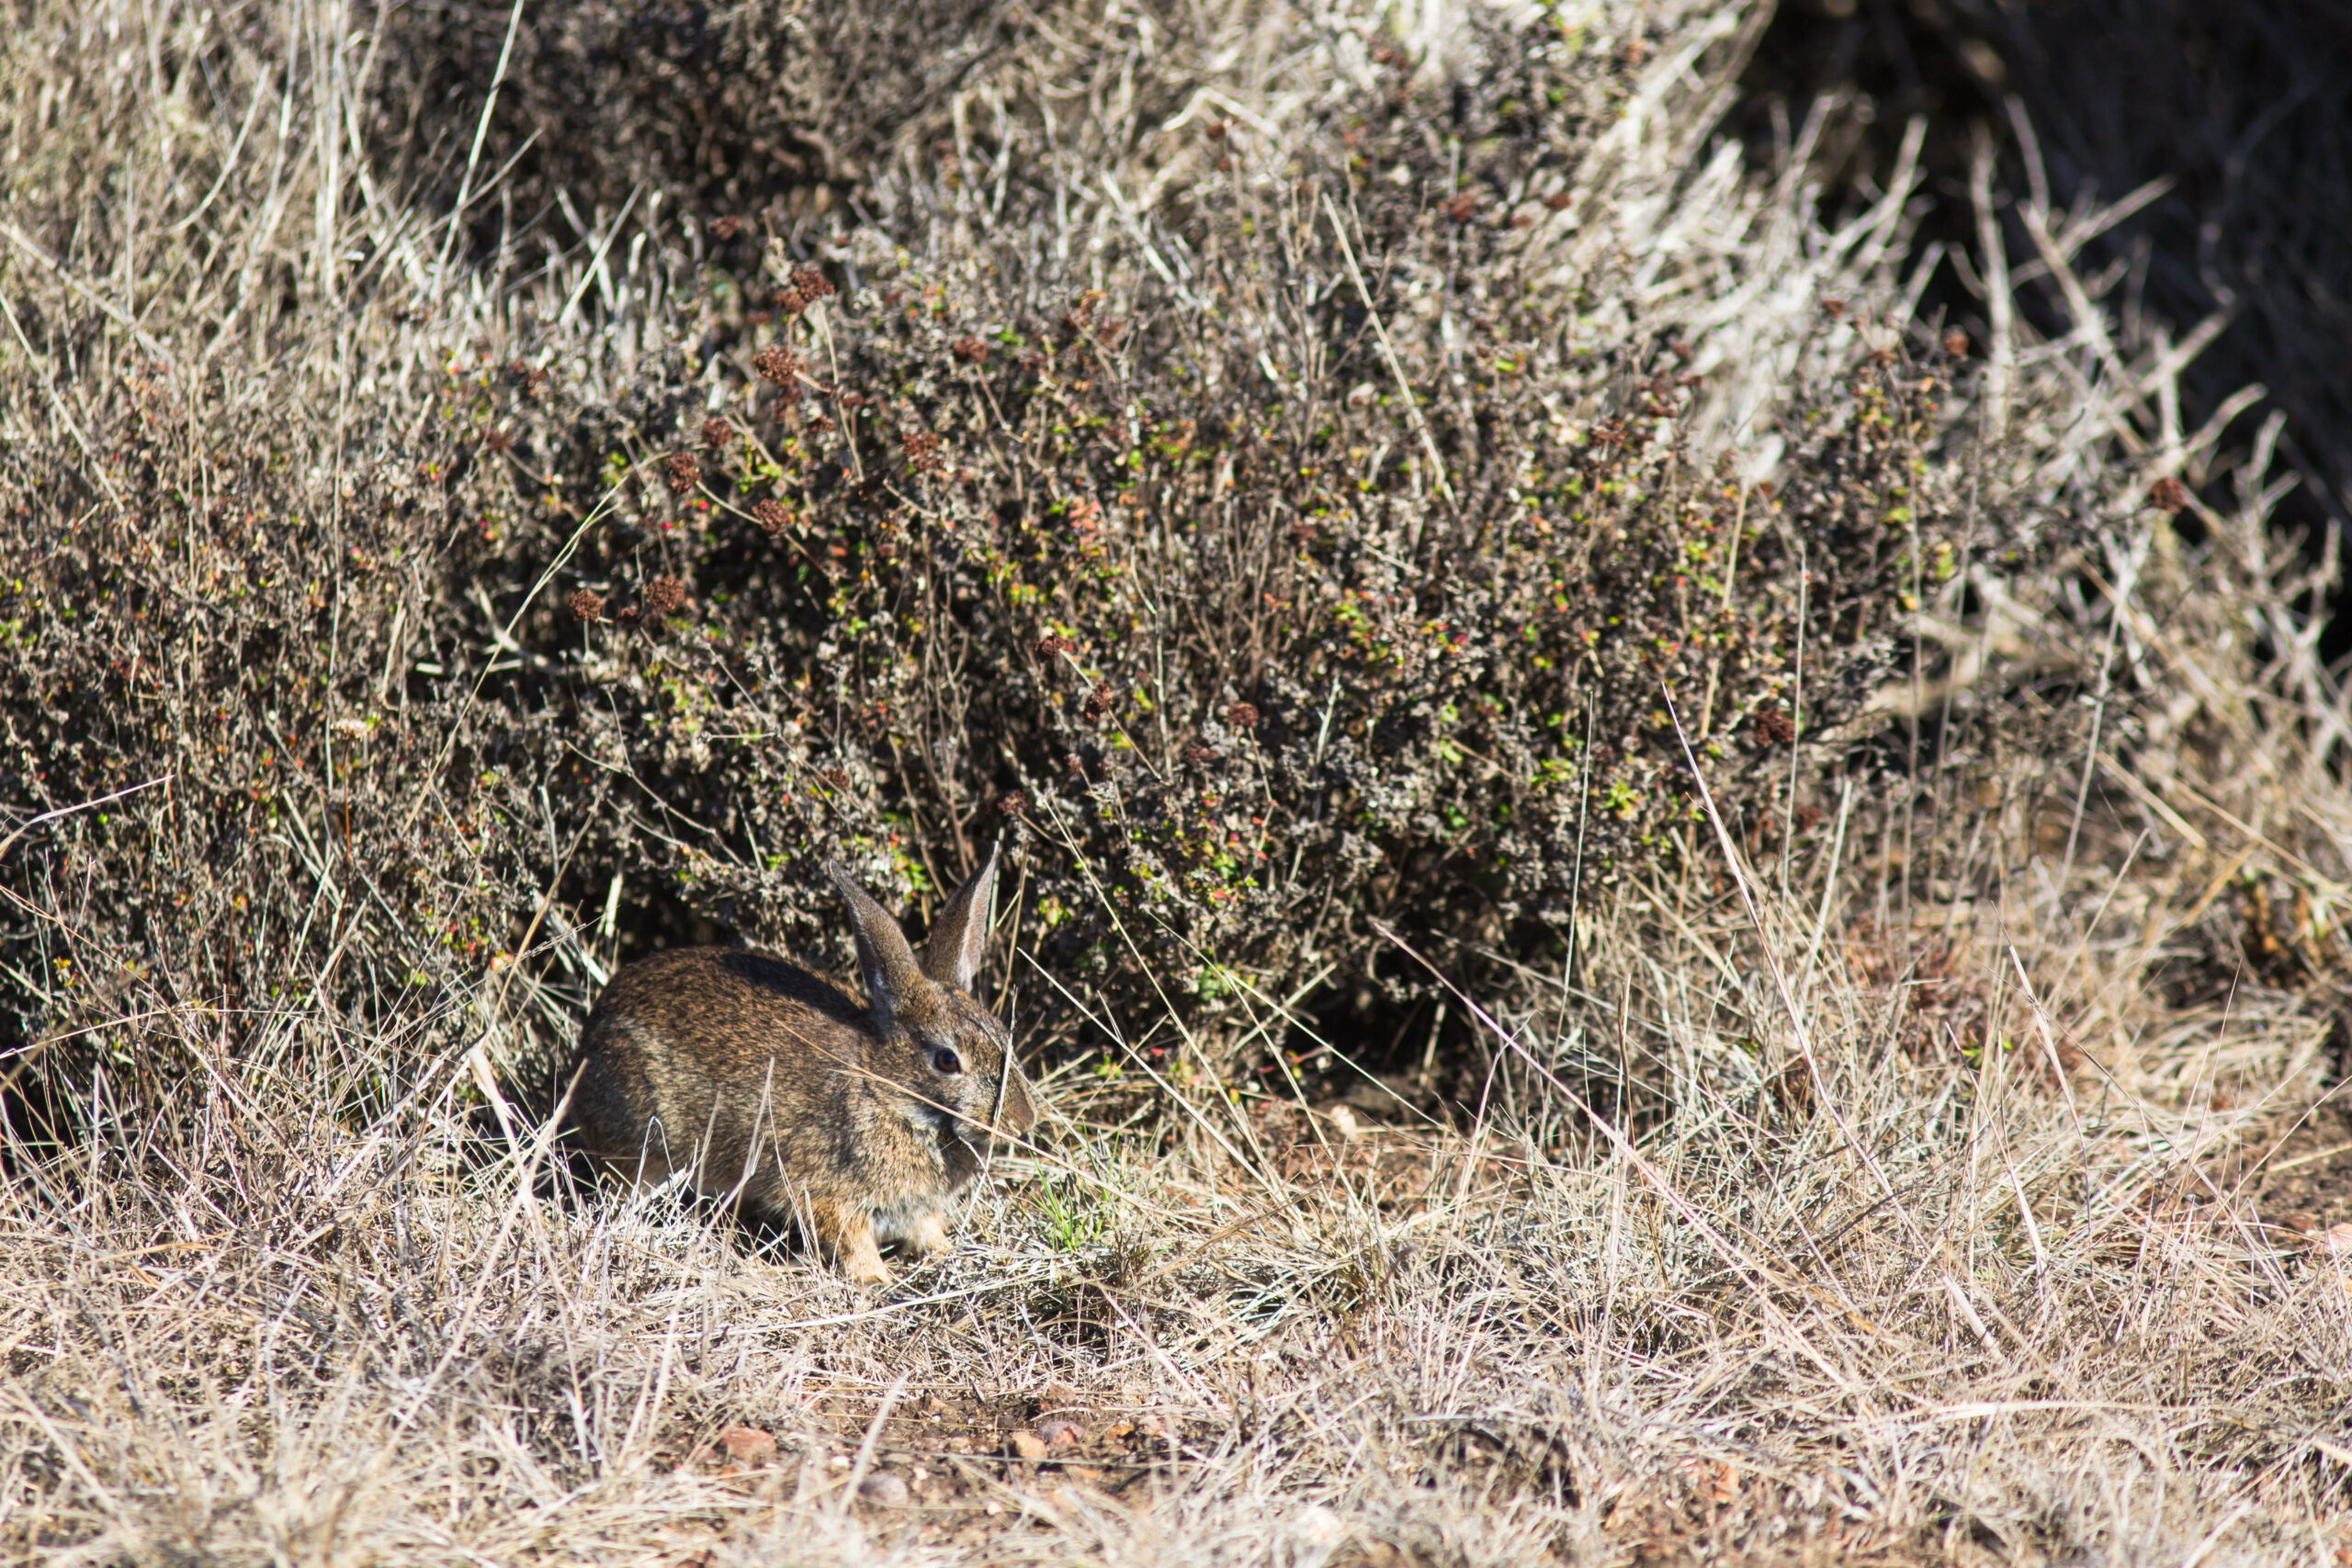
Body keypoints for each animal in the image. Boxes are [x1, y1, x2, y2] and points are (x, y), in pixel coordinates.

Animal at [564, 841, 1035, 1279]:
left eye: (1003, 1032)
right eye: (947, 1061)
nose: (1022, 1122)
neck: (886, 1093)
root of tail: (590, 1037)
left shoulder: (914, 1210)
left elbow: (927, 1229)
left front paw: (945, 1253)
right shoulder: (828, 1193)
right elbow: (851, 1241)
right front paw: (878, 1281)